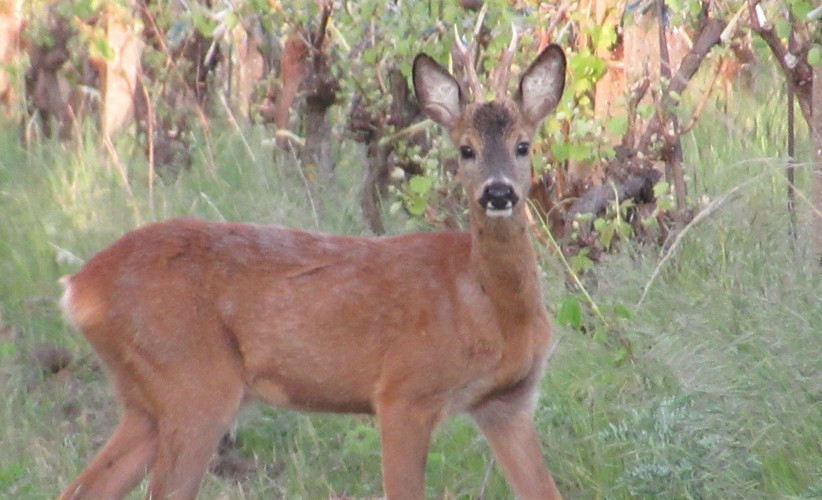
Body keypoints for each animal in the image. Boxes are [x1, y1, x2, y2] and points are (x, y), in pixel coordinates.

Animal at [58, 40, 568, 500]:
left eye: (523, 146)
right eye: (465, 150)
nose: (498, 193)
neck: (486, 304)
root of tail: (80, 287)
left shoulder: (508, 403)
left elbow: (545, 490)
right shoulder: (403, 392)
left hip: (146, 397)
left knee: (84, 488)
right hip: (192, 378)